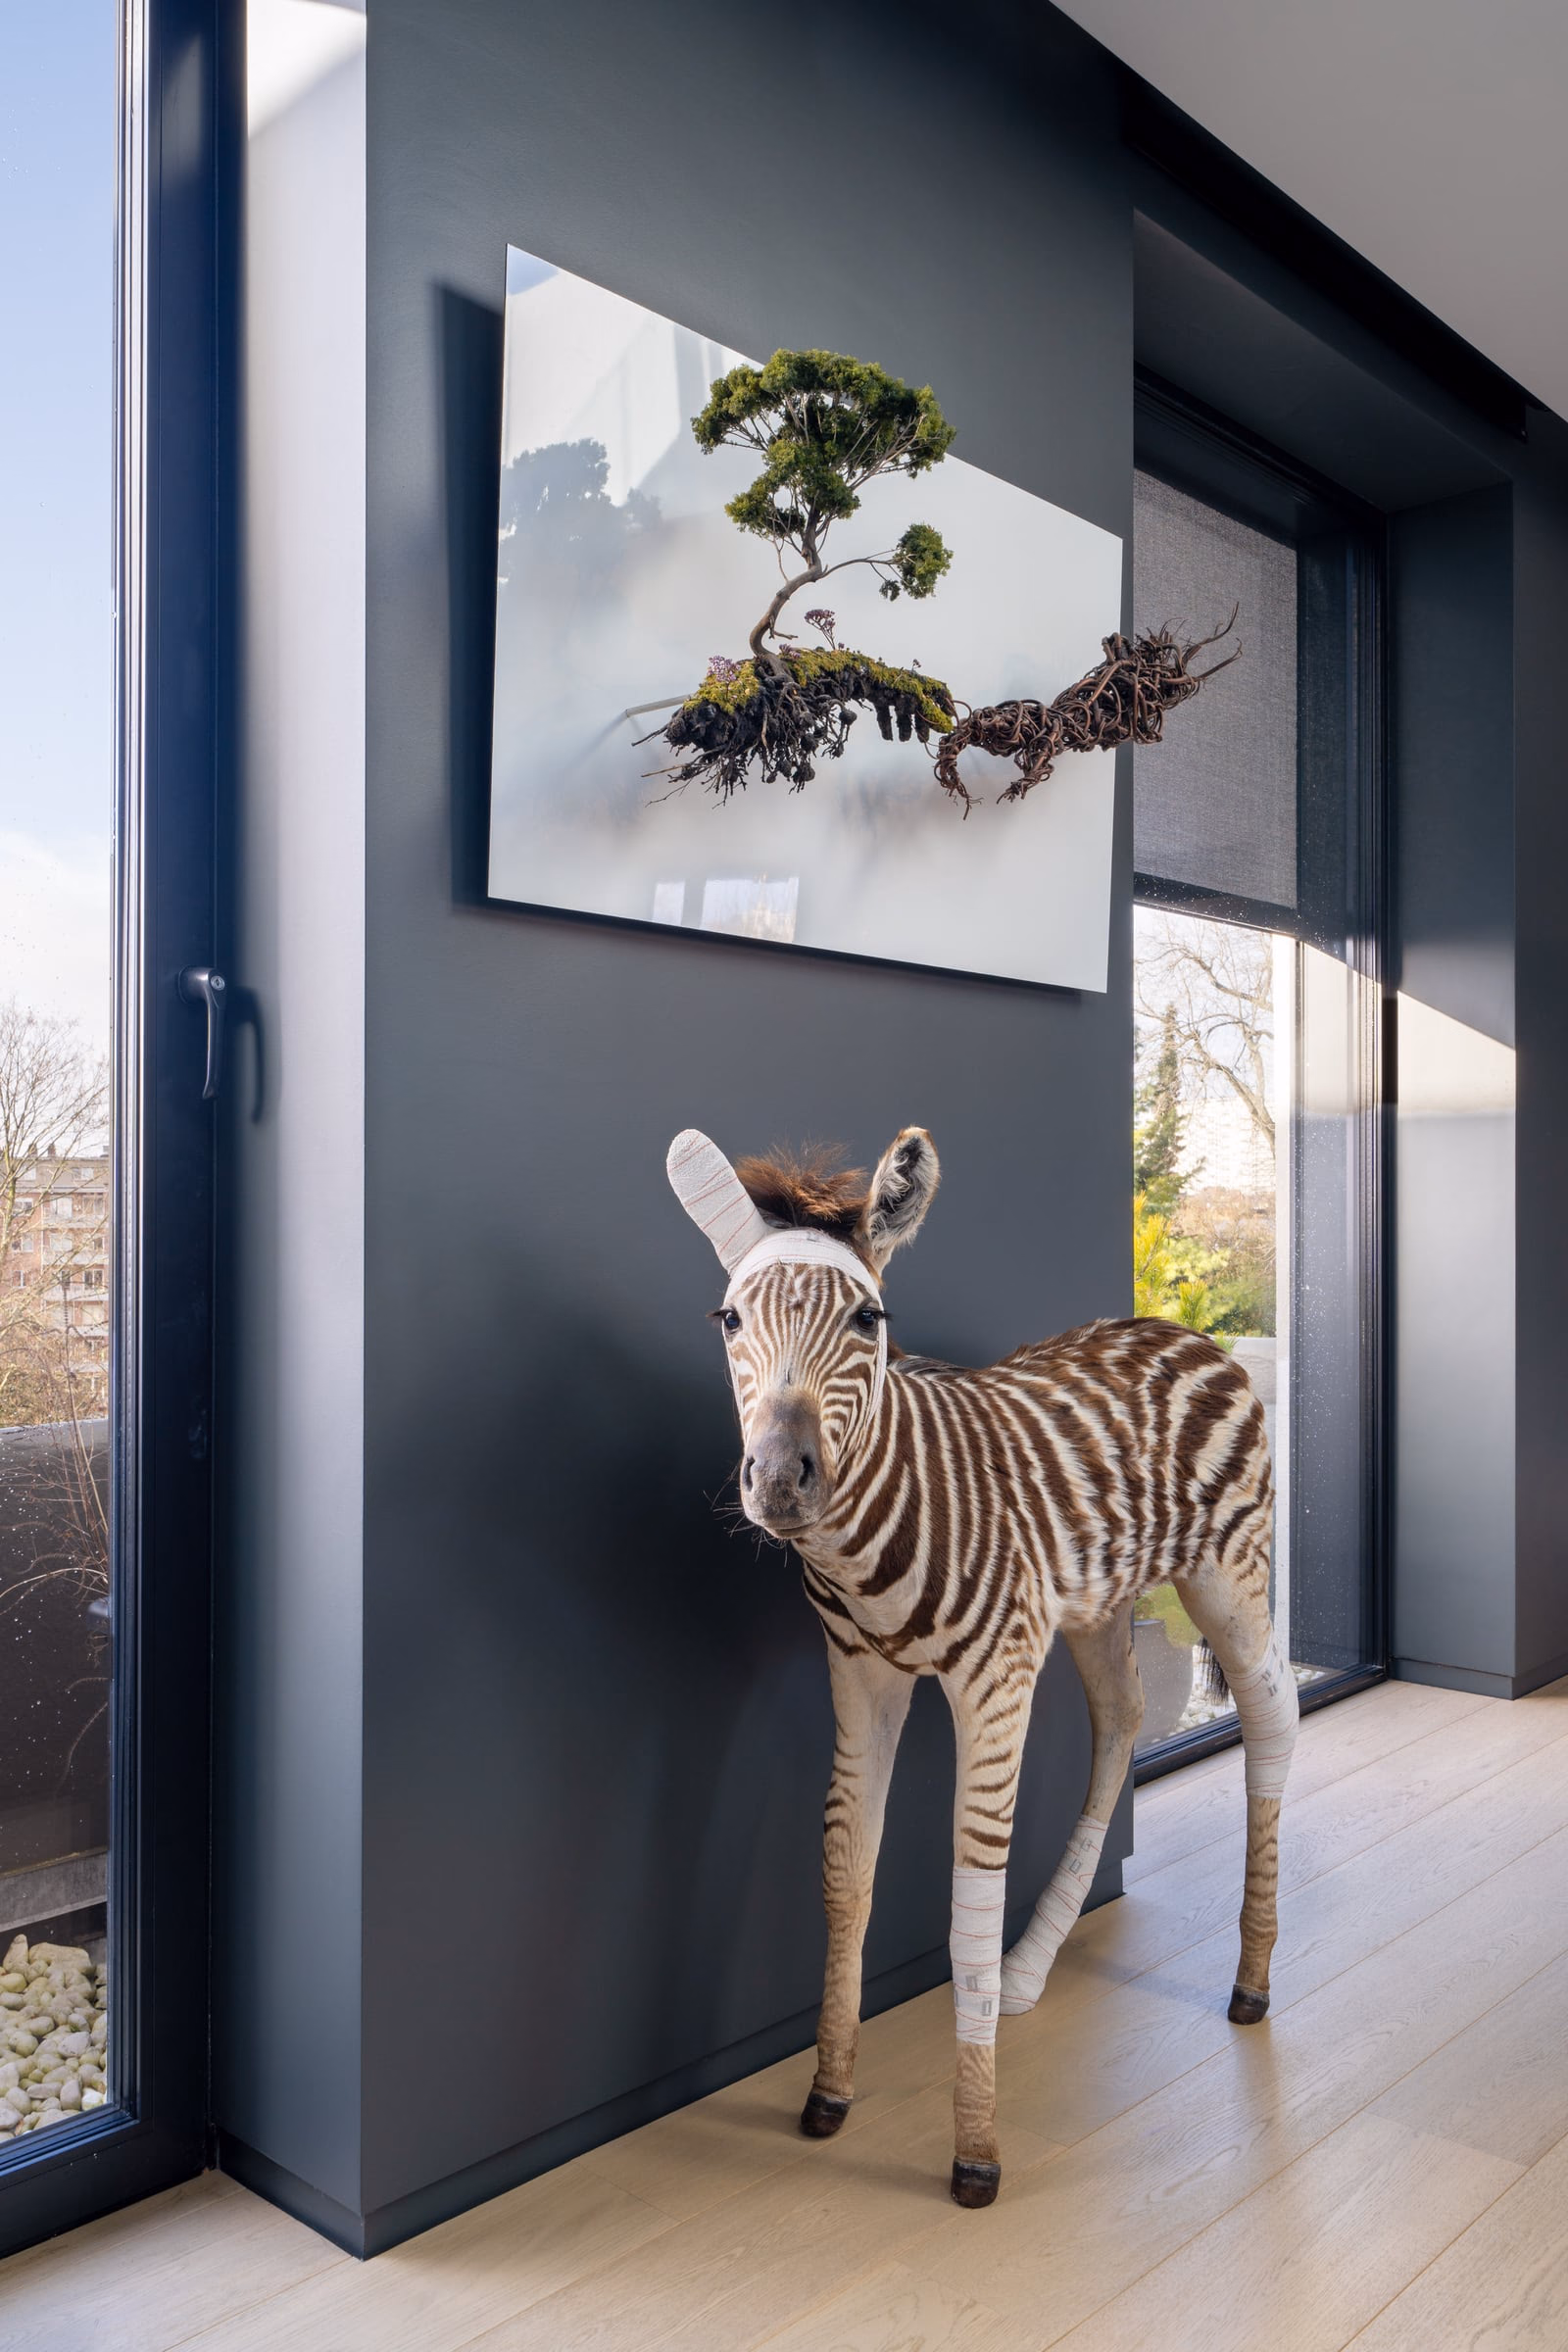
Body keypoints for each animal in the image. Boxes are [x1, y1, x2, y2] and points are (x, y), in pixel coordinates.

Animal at [667, 1123, 1298, 2208]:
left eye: (868, 1318)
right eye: (730, 1316)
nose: (782, 1480)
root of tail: (1181, 1331)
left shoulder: (994, 1682)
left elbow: (968, 1898)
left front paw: (974, 2153)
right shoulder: (858, 1674)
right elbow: (846, 1870)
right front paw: (828, 2093)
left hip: (1228, 1569)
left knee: (1270, 1713)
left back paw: (1251, 1983)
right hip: (1096, 1602)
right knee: (1123, 1721)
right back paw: (1031, 1970)